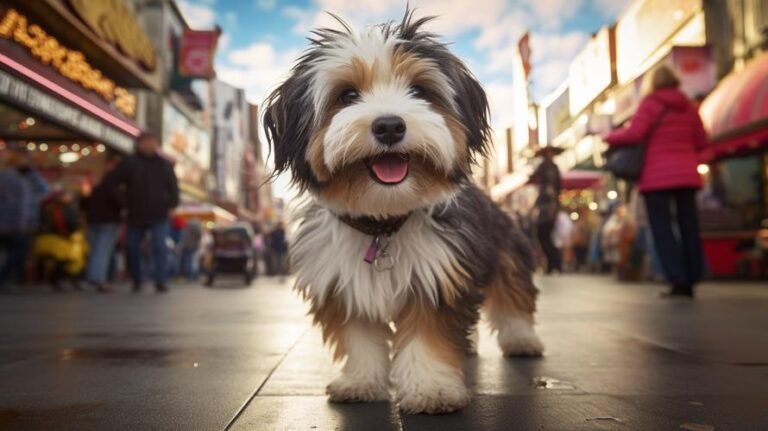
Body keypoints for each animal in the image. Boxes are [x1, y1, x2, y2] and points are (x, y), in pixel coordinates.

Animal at [264, 10, 544, 416]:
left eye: (419, 91)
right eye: (347, 96)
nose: (389, 126)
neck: (383, 223)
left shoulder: (438, 279)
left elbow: (428, 339)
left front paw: (432, 389)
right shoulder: (343, 286)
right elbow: (360, 340)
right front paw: (361, 382)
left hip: (506, 252)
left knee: (514, 297)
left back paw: (522, 339)